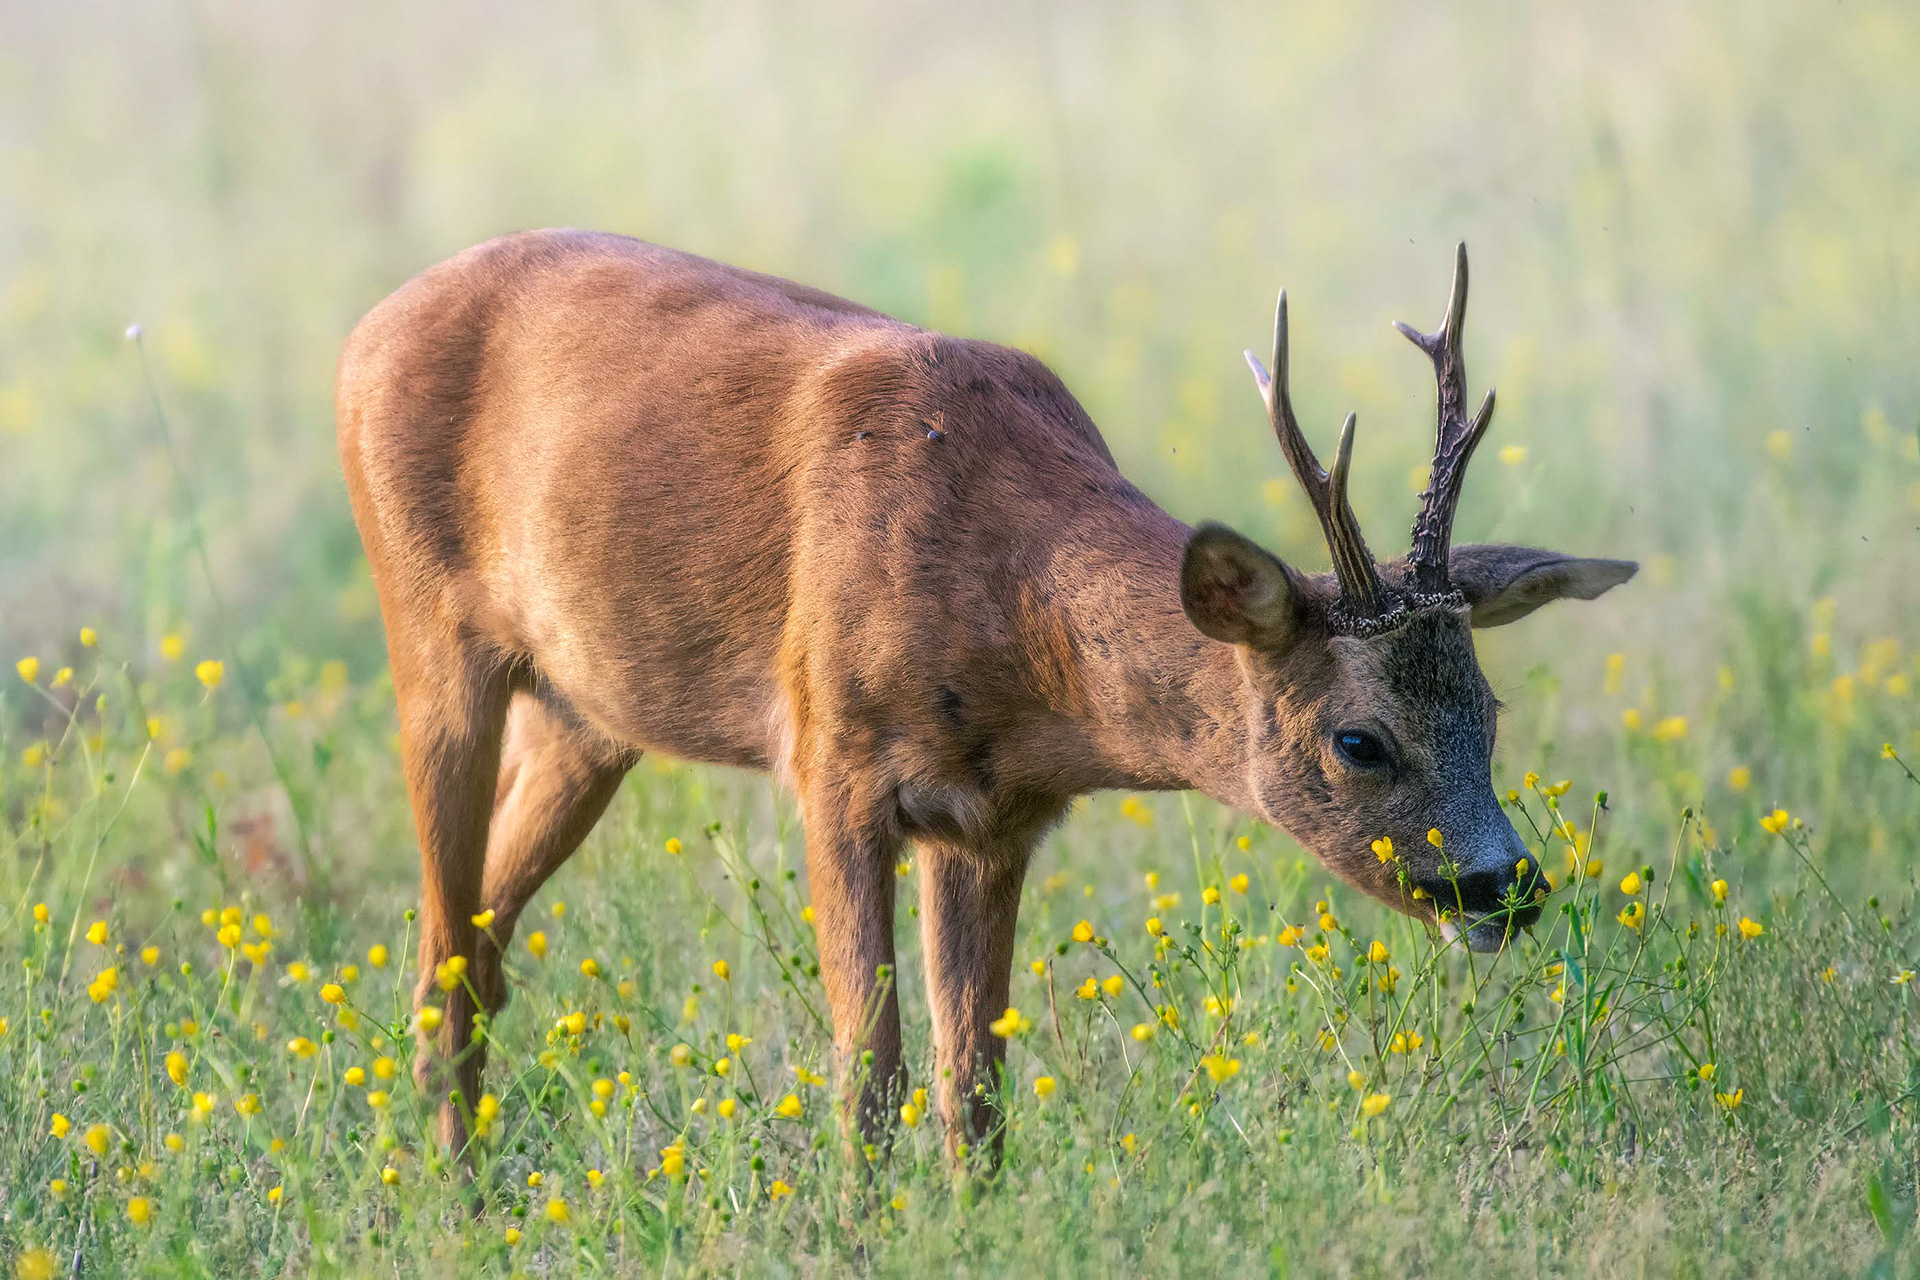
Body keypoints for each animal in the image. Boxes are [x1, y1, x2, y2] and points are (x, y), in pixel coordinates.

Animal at [335, 230, 1635, 1158]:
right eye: (1360, 737)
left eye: (1488, 712)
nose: (1507, 885)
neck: (1017, 618)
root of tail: (361, 335)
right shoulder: (832, 762)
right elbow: (871, 1078)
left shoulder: (992, 818)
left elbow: (978, 1087)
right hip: (431, 636)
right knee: (442, 948)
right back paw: (453, 1206)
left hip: (584, 716)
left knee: (476, 944)